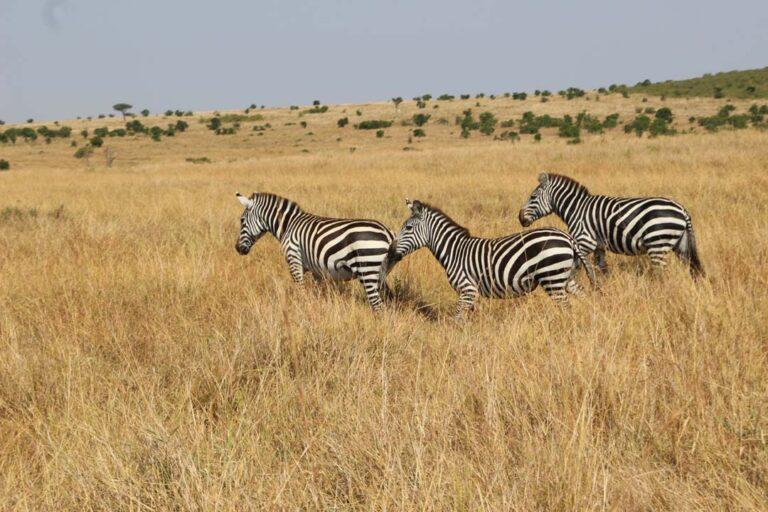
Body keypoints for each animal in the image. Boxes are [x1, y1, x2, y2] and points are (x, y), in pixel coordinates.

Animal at [235, 192, 397, 310]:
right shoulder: (316, 270)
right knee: (388, 299)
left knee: (378, 305)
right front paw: (317, 310)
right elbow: (318, 293)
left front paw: (302, 309)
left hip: (366, 269)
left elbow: (300, 289)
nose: (237, 249)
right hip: (380, 272)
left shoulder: (294, 259)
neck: (288, 226)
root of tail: (387, 232)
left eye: (242, 220)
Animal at [388, 199, 595, 318]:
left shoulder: (467, 289)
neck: (453, 251)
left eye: (408, 228)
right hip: (565, 277)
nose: (391, 252)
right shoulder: (471, 294)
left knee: (566, 307)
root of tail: (567, 237)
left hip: (552, 277)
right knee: (583, 298)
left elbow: (457, 318)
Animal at [518, 172, 704, 278]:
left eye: (533, 197)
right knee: (692, 268)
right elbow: (601, 270)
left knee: (662, 274)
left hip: (658, 244)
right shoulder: (599, 247)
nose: (520, 218)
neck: (576, 208)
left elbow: (576, 268)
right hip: (681, 244)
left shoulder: (584, 242)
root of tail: (682, 209)